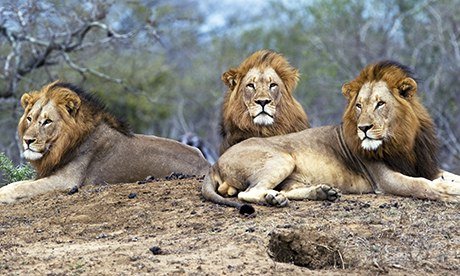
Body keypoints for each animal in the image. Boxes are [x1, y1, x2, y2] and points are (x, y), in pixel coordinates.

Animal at [0, 81, 208, 204]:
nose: (27, 141)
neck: (62, 146)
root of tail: (206, 164)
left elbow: (22, 186)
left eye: (47, 121)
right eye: (29, 118)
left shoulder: (66, 181)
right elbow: (18, 183)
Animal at [204, 61, 460, 215]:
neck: (402, 139)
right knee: (247, 192)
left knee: (284, 190)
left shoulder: (425, 166)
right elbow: (422, 186)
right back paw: (272, 199)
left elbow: (448, 176)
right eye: (358, 106)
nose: (363, 128)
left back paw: (319, 193)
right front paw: (450, 191)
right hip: (281, 159)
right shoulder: (384, 179)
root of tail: (216, 162)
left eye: (380, 104)